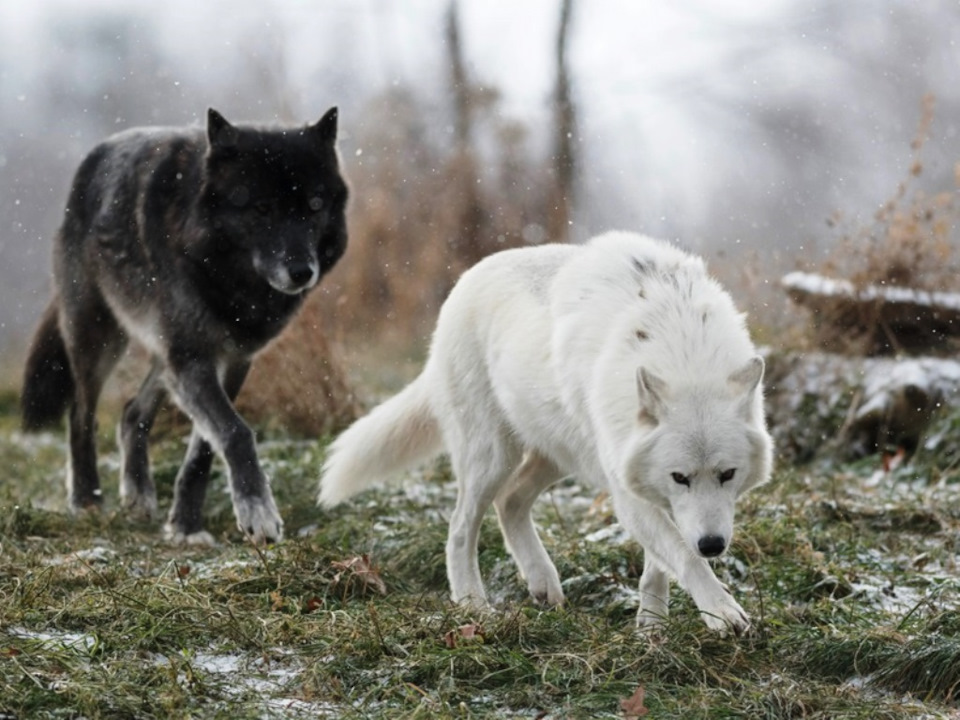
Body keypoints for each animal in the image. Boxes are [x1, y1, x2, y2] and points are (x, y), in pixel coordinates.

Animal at [21, 109, 348, 544]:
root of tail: (92, 159)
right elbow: (237, 432)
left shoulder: (232, 359)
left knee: (131, 412)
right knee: (80, 415)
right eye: (262, 208)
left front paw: (187, 525)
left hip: (163, 355)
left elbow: (205, 448)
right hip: (100, 338)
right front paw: (258, 512)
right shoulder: (191, 357)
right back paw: (87, 499)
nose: (302, 272)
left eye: (313, 205)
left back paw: (138, 495)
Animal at [320, 233, 772, 632]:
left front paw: (651, 626)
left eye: (727, 475)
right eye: (681, 477)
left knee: (509, 502)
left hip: (557, 457)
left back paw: (542, 583)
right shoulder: (631, 492)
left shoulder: (642, 484)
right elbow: (682, 555)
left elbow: (659, 564)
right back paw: (473, 604)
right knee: (460, 528)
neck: (682, 347)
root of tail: (460, 286)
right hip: (492, 459)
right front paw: (721, 613)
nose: (713, 545)